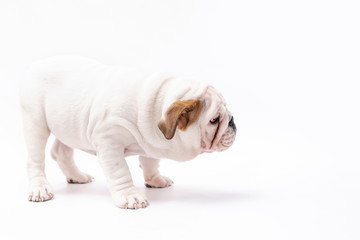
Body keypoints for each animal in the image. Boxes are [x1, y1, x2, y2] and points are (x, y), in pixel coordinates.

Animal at [20, 55, 236, 208]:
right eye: (214, 120)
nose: (233, 122)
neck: (156, 106)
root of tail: (34, 66)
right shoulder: (109, 142)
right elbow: (120, 171)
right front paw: (130, 195)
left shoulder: (152, 141)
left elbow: (150, 161)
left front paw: (155, 179)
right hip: (35, 123)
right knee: (35, 159)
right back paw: (40, 189)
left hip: (67, 126)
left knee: (61, 152)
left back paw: (77, 176)